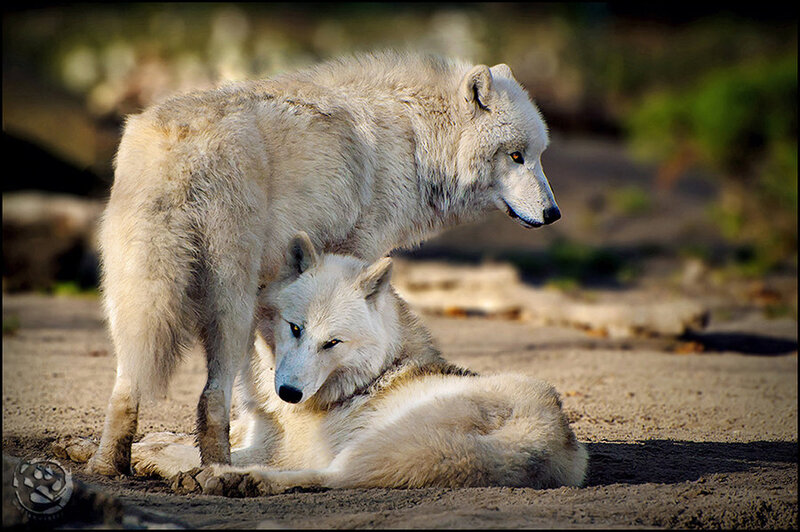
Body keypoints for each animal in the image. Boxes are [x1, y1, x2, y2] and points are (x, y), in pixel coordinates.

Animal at [82, 233, 586, 494]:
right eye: (295, 328)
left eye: (333, 343)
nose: (290, 393)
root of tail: (544, 439)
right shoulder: (255, 429)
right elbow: (172, 438)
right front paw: (98, 448)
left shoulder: (278, 447)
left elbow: (184, 451)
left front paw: (153, 459)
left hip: (368, 447)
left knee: (326, 478)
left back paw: (233, 481)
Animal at [90, 51, 561, 477]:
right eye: (516, 156)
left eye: (539, 155)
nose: (554, 213)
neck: (416, 139)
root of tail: (178, 142)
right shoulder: (356, 254)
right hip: (228, 303)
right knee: (211, 398)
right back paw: (218, 472)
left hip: (131, 298)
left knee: (126, 389)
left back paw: (108, 466)